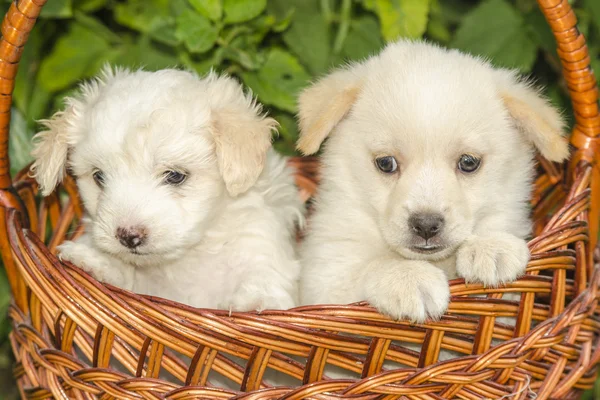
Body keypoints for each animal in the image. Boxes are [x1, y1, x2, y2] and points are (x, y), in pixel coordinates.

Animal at [31, 66, 304, 312]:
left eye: (175, 175)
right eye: (99, 177)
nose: (128, 236)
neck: (190, 255)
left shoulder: (258, 238)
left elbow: (263, 270)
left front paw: (257, 300)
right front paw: (92, 260)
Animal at [298, 39, 568, 322]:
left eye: (468, 162)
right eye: (386, 163)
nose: (426, 225)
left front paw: (491, 246)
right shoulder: (325, 278)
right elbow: (372, 266)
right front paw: (409, 277)